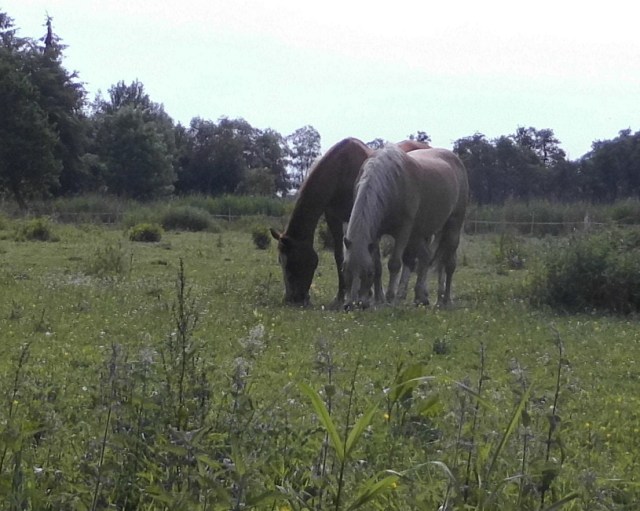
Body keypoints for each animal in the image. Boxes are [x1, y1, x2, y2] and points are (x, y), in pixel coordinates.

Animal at [270, 137, 430, 307]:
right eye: (280, 261)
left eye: (292, 263)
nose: (291, 298)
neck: (341, 169)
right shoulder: (333, 217)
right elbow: (340, 256)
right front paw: (342, 295)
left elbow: (375, 260)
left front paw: (376, 295)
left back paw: (418, 295)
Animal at [343, 144, 468, 309]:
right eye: (345, 270)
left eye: (368, 273)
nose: (352, 305)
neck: (391, 182)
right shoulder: (375, 234)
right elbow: (379, 265)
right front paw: (381, 299)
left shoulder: (403, 231)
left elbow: (394, 264)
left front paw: (390, 299)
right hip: (420, 234)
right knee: (426, 257)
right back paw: (422, 298)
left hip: (452, 227)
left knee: (448, 263)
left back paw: (445, 300)